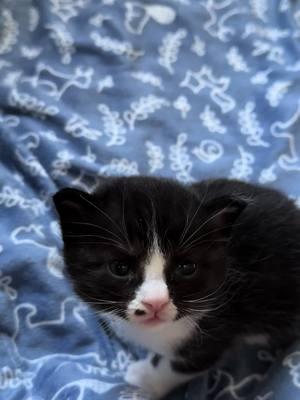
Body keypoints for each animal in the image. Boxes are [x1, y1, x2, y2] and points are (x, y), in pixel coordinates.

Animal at [52, 177, 300, 398]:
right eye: (120, 268)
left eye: (186, 267)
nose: (155, 302)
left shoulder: (220, 328)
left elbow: (183, 365)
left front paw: (144, 379)